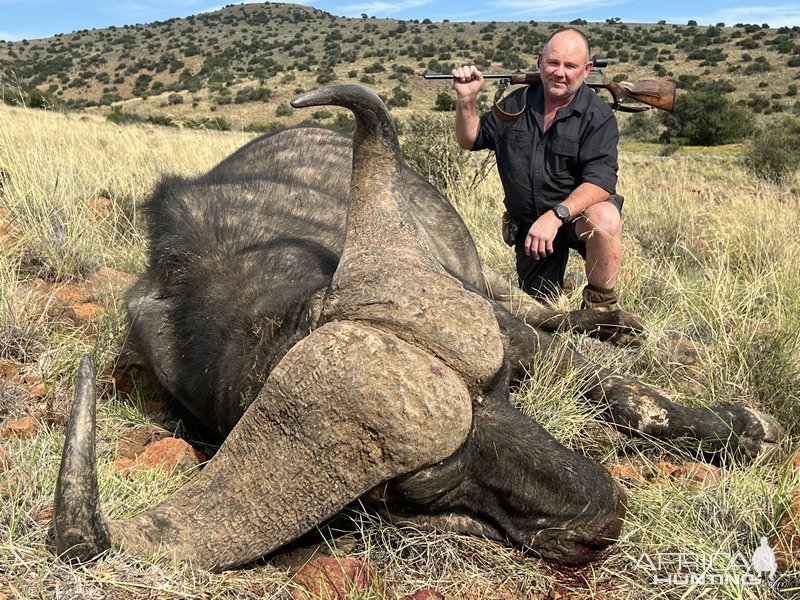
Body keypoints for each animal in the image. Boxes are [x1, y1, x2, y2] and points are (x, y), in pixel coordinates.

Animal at [51, 83, 780, 572]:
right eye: (428, 485)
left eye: (503, 387)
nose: (604, 513)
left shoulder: (510, 334)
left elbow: (625, 392)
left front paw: (744, 426)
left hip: (493, 281)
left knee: (554, 311)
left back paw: (621, 324)